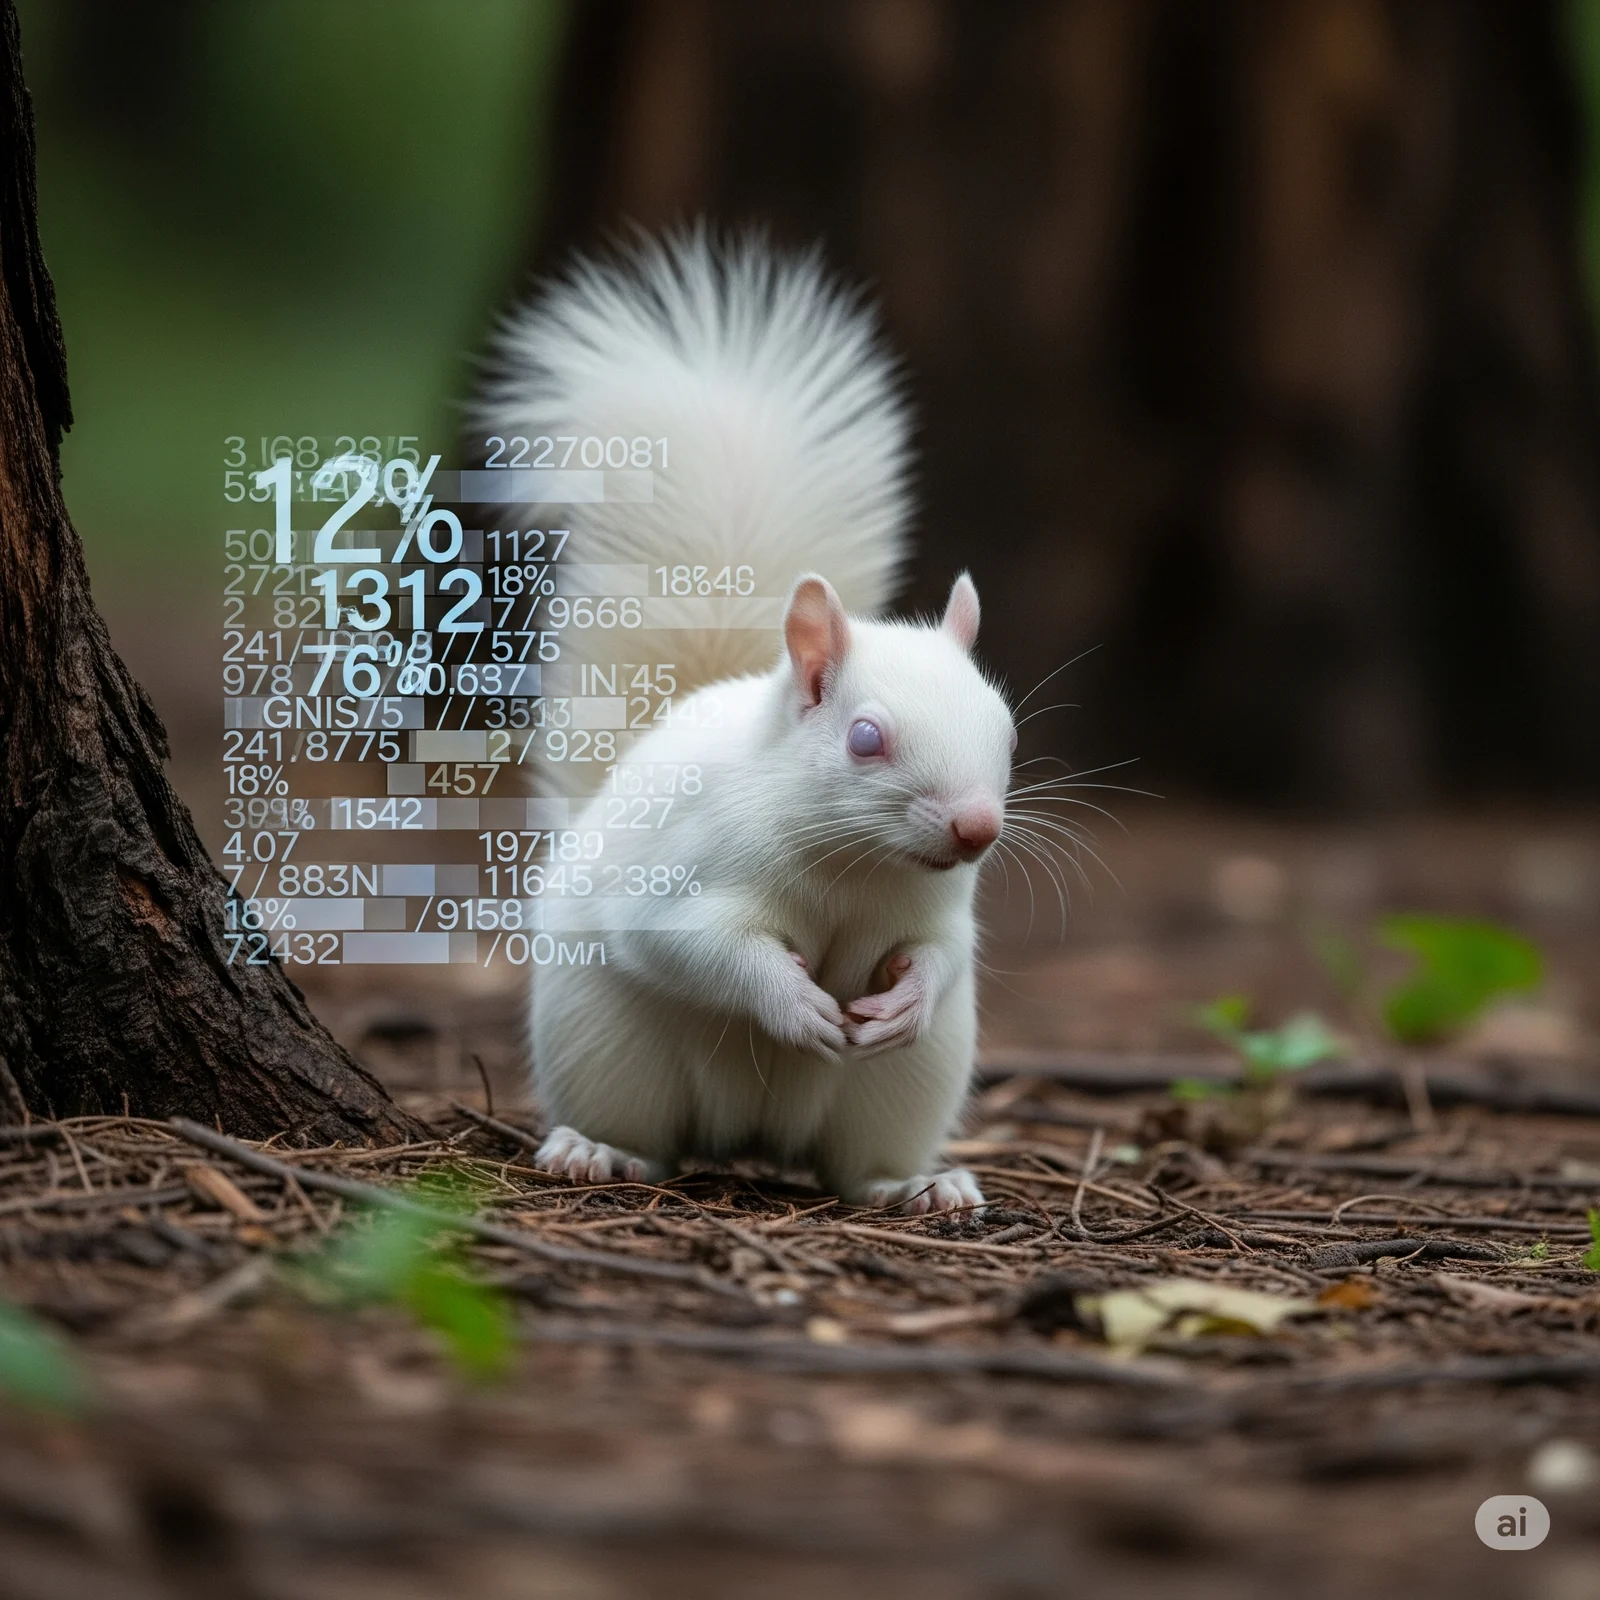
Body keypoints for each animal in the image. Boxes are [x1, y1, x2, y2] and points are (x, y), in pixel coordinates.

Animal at [477, 231, 1015, 1213]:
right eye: (865, 737)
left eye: (1007, 731)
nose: (977, 828)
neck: (853, 866)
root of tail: (756, 1138)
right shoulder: (681, 870)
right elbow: (690, 945)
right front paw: (792, 1002)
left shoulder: (939, 911)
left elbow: (943, 952)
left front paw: (908, 996)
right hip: (609, 1048)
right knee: (642, 1136)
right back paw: (595, 1151)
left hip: (903, 1086)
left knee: (859, 1166)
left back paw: (915, 1187)